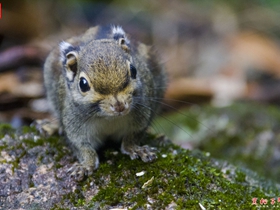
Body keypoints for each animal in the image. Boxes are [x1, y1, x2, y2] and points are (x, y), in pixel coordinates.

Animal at [38, 25, 167, 180]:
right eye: (83, 84)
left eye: (134, 70)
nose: (119, 106)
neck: (108, 118)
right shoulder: (75, 127)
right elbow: (82, 147)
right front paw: (86, 165)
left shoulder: (141, 116)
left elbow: (133, 136)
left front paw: (136, 149)